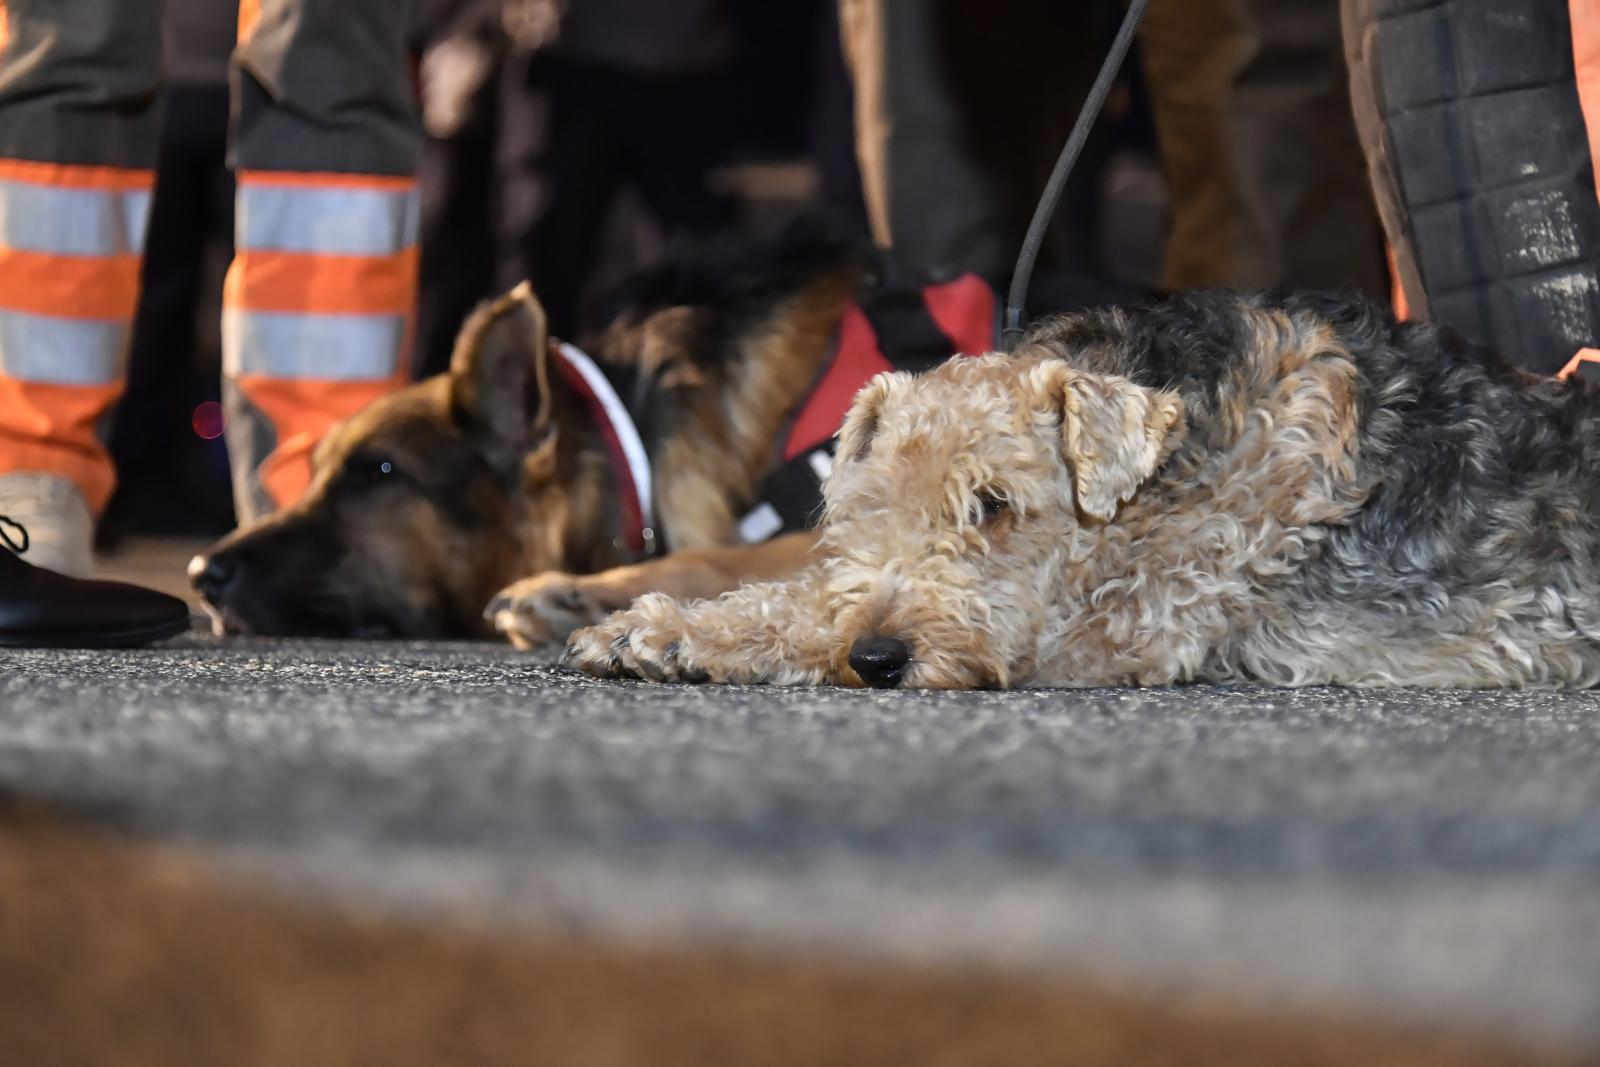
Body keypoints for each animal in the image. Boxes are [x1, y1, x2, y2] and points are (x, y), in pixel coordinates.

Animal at [195, 225, 883, 643]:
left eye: (379, 472)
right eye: (315, 475)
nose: (203, 574)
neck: (630, 440)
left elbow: (720, 556)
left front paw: (583, 593)